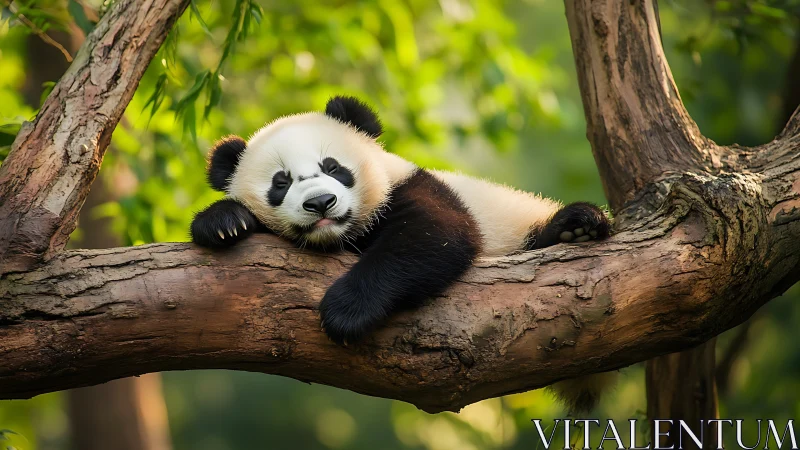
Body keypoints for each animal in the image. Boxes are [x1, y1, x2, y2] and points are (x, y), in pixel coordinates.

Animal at [191, 96, 613, 412]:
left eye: (333, 167)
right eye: (281, 183)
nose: (321, 203)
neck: (343, 236)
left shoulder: (414, 188)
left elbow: (433, 239)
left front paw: (345, 312)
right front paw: (224, 222)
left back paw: (577, 227)